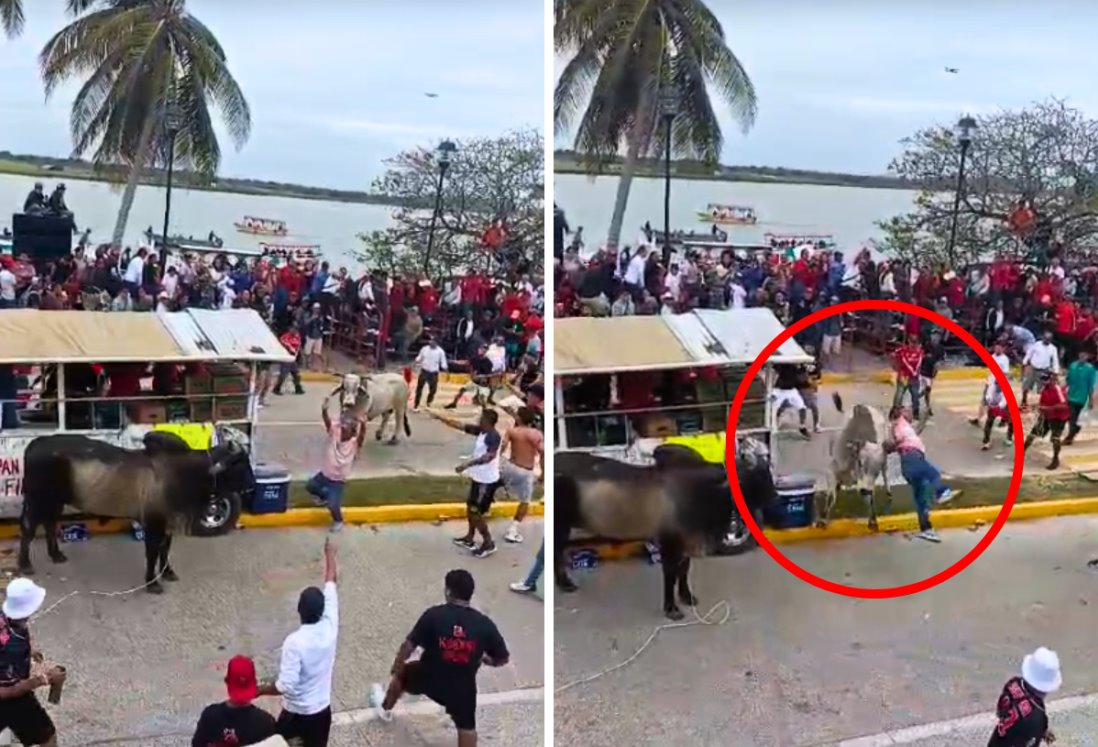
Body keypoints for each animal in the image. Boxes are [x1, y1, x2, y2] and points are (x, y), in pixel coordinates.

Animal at [553, 443, 777, 619]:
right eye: (752, 476)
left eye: (767, 472)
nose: (775, 497)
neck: (702, 491)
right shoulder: (670, 542)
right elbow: (671, 574)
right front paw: (671, 609)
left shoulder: (687, 540)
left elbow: (684, 570)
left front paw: (687, 597)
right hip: (560, 523)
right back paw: (565, 583)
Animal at [825, 393, 891, 527]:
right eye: (860, 462)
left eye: (876, 469)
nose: (865, 490)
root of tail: (863, 406)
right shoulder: (831, 468)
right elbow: (830, 496)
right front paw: (822, 520)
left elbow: (870, 500)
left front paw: (872, 519)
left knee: (886, 475)